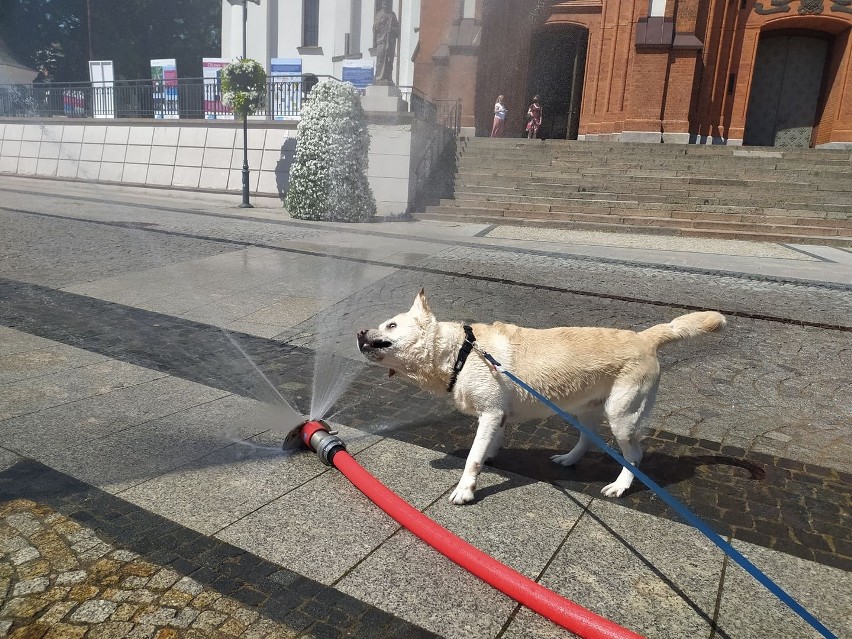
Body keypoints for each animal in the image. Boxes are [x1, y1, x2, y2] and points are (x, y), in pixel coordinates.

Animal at [356, 290, 724, 504]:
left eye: (390, 326)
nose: (359, 332)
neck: (461, 352)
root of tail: (645, 338)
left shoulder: (490, 413)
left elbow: (472, 457)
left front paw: (465, 489)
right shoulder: (498, 415)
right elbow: (490, 445)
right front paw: (491, 456)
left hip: (622, 416)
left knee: (634, 455)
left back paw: (620, 486)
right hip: (586, 411)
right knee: (587, 440)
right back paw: (569, 460)